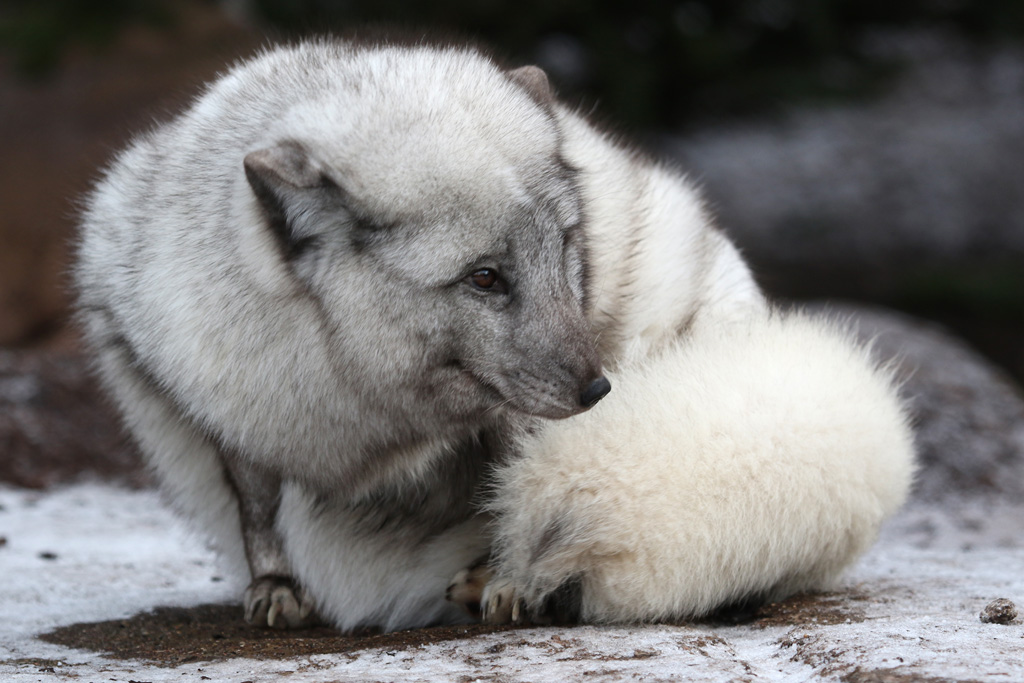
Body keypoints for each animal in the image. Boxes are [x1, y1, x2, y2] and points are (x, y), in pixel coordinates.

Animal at [75, 38, 914, 632]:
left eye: (567, 247)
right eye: (483, 277)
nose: (599, 388)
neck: (357, 410)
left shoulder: (513, 419)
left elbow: (505, 491)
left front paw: (505, 576)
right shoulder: (217, 400)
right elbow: (254, 505)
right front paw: (275, 586)